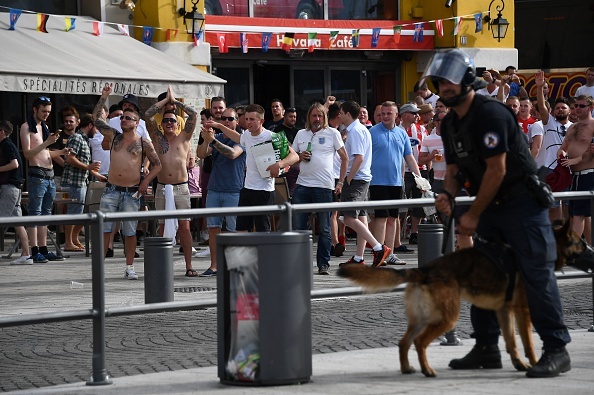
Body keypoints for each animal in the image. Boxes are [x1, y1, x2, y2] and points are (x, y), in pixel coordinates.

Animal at [336, 221, 588, 378]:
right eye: (579, 242)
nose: (590, 248)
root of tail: (424, 270)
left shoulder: (504, 311)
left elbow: (511, 342)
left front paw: (518, 364)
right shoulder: (522, 311)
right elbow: (527, 343)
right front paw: (535, 365)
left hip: (422, 319)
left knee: (404, 342)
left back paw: (408, 369)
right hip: (447, 319)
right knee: (420, 343)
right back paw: (427, 371)